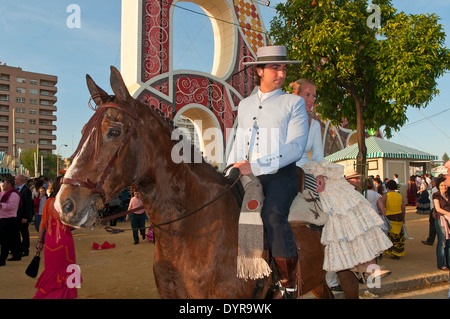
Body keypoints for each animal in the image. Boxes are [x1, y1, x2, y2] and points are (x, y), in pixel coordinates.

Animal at [55, 67, 358, 300]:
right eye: (82, 131)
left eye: (114, 132)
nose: (64, 205)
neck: (191, 230)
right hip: (318, 278)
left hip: (347, 272)